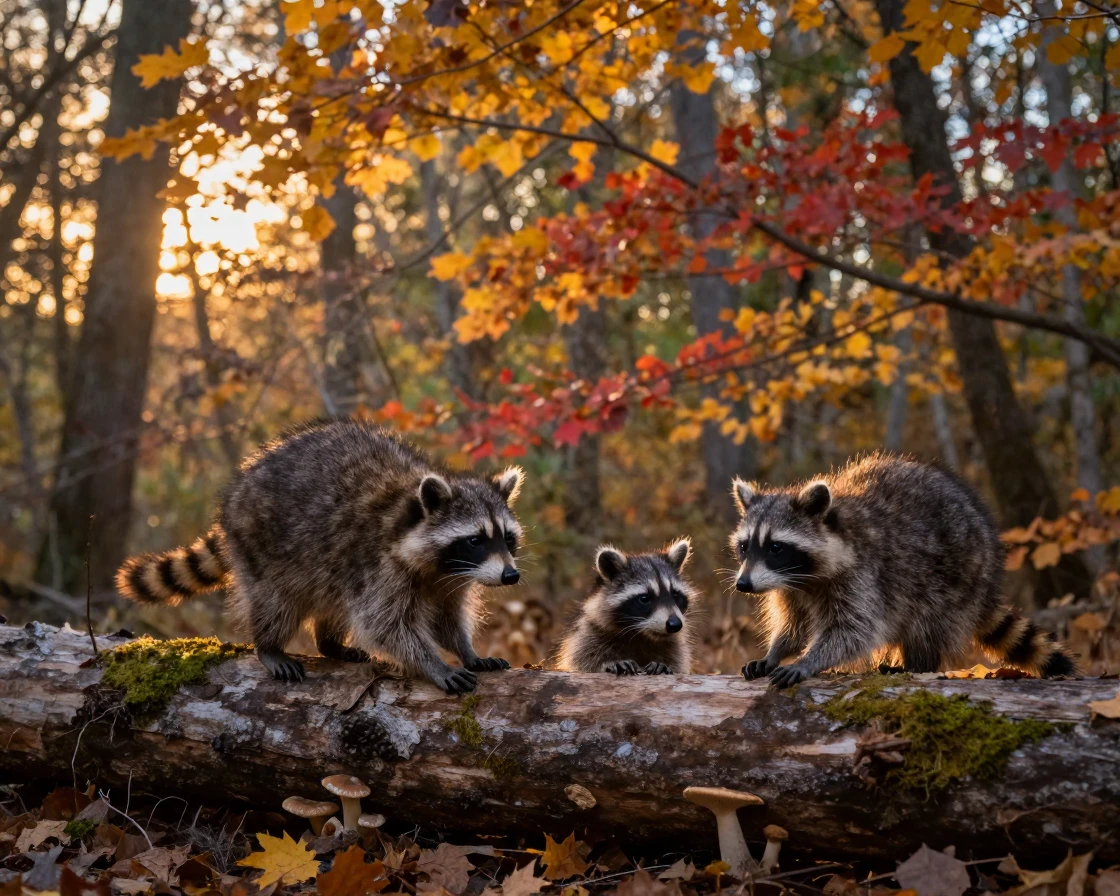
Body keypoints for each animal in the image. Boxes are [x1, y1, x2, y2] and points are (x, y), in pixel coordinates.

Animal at [115, 418, 525, 693]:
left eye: (507, 538)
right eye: (475, 540)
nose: (511, 576)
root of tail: (239, 486)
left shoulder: (449, 579)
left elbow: (446, 617)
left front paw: (466, 650)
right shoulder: (381, 564)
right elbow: (386, 625)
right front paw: (432, 663)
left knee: (333, 599)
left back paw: (329, 643)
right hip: (263, 544)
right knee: (275, 602)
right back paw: (269, 645)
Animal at [555, 539, 696, 675]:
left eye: (675, 595)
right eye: (644, 598)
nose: (675, 624)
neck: (640, 634)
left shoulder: (675, 646)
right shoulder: (587, 634)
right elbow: (585, 661)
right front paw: (607, 664)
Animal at [730, 454, 1076, 688]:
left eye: (776, 547)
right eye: (745, 546)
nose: (743, 585)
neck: (804, 577)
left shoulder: (863, 575)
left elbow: (853, 630)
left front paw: (809, 660)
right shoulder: (791, 588)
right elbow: (794, 624)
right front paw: (776, 651)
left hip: (956, 579)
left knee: (926, 624)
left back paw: (916, 665)